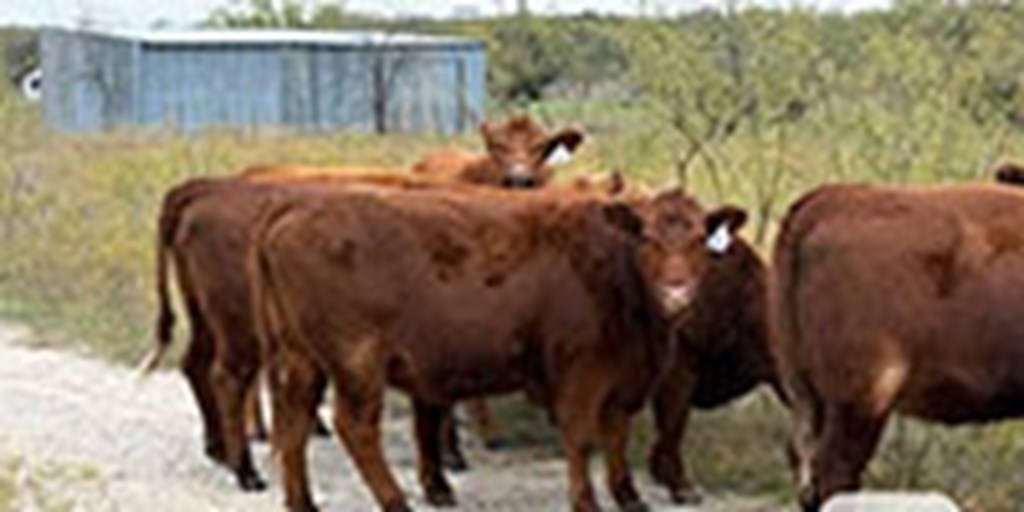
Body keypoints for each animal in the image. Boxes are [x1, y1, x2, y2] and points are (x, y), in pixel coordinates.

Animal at [246, 185, 745, 512]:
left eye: (700, 240)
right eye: (647, 238)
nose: (677, 292)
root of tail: (294, 208)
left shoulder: (623, 379)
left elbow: (616, 435)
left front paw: (629, 495)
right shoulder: (580, 373)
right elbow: (582, 438)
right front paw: (586, 500)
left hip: (301, 359)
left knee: (294, 425)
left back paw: (303, 503)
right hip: (356, 359)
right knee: (355, 427)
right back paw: (394, 501)